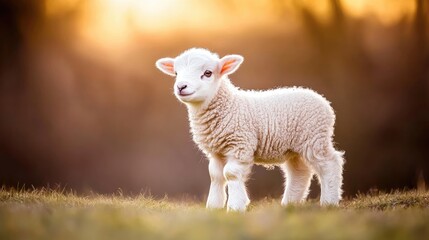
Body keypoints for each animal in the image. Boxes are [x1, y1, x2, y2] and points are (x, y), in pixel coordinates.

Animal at [155, 47, 342, 211]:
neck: (229, 105)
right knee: (299, 172)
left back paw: (329, 202)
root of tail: (322, 100)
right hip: (295, 147)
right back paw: (289, 204)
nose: (181, 87)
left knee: (330, 164)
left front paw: (235, 207)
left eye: (208, 73)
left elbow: (230, 174)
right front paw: (214, 207)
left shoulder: (240, 144)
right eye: (176, 73)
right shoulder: (216, 151)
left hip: (315, 138)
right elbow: (215, 175)